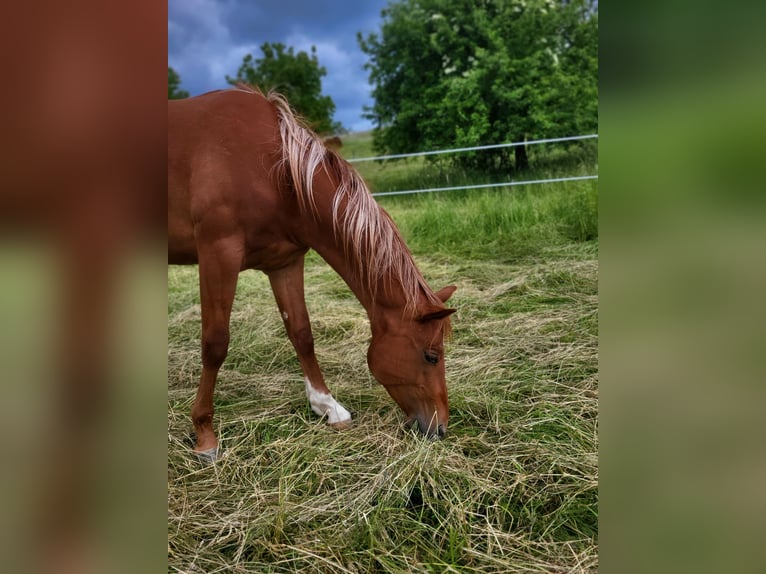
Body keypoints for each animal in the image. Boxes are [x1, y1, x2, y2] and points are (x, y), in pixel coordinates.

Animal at [168, 86, 456, 460]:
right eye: (431, 356)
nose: (439, 428)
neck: (273, 171)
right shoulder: (219, 254)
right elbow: (215, 344)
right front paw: (204, 434)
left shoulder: (285, 263)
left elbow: (302, 333)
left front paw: (328, 406)